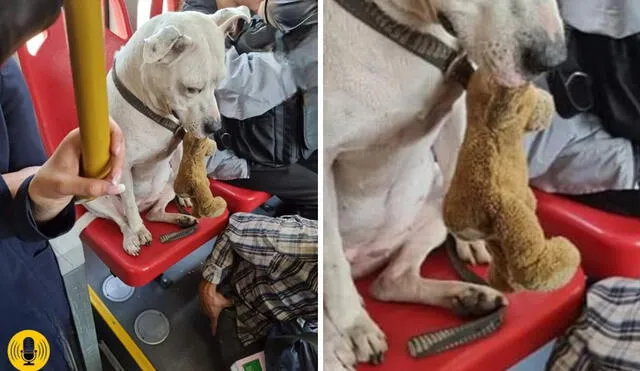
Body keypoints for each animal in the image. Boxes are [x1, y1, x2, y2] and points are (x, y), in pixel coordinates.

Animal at [84, 7, 252, 256]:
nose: (215, 127)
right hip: (95, 199)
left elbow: (182, 167)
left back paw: (181, 216)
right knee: (122, 219)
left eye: (219, 83)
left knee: (156, 211)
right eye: (192, 89)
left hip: (166, 185)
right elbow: (129, 205)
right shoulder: (122, 167)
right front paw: (139, 230)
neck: (150, 110)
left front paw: (186, 197)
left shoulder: (178, 149)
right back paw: (132, 237)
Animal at [324, 0, 564, 370]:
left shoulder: (457, 104)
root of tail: (365, 261)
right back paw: (334, 346)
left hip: (430, 208)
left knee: (391, 282)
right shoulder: (323, 155)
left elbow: (462, 169)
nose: (552, 59)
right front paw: (354, 326)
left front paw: (475, 238)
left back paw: (469, 297)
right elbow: (332, 261)